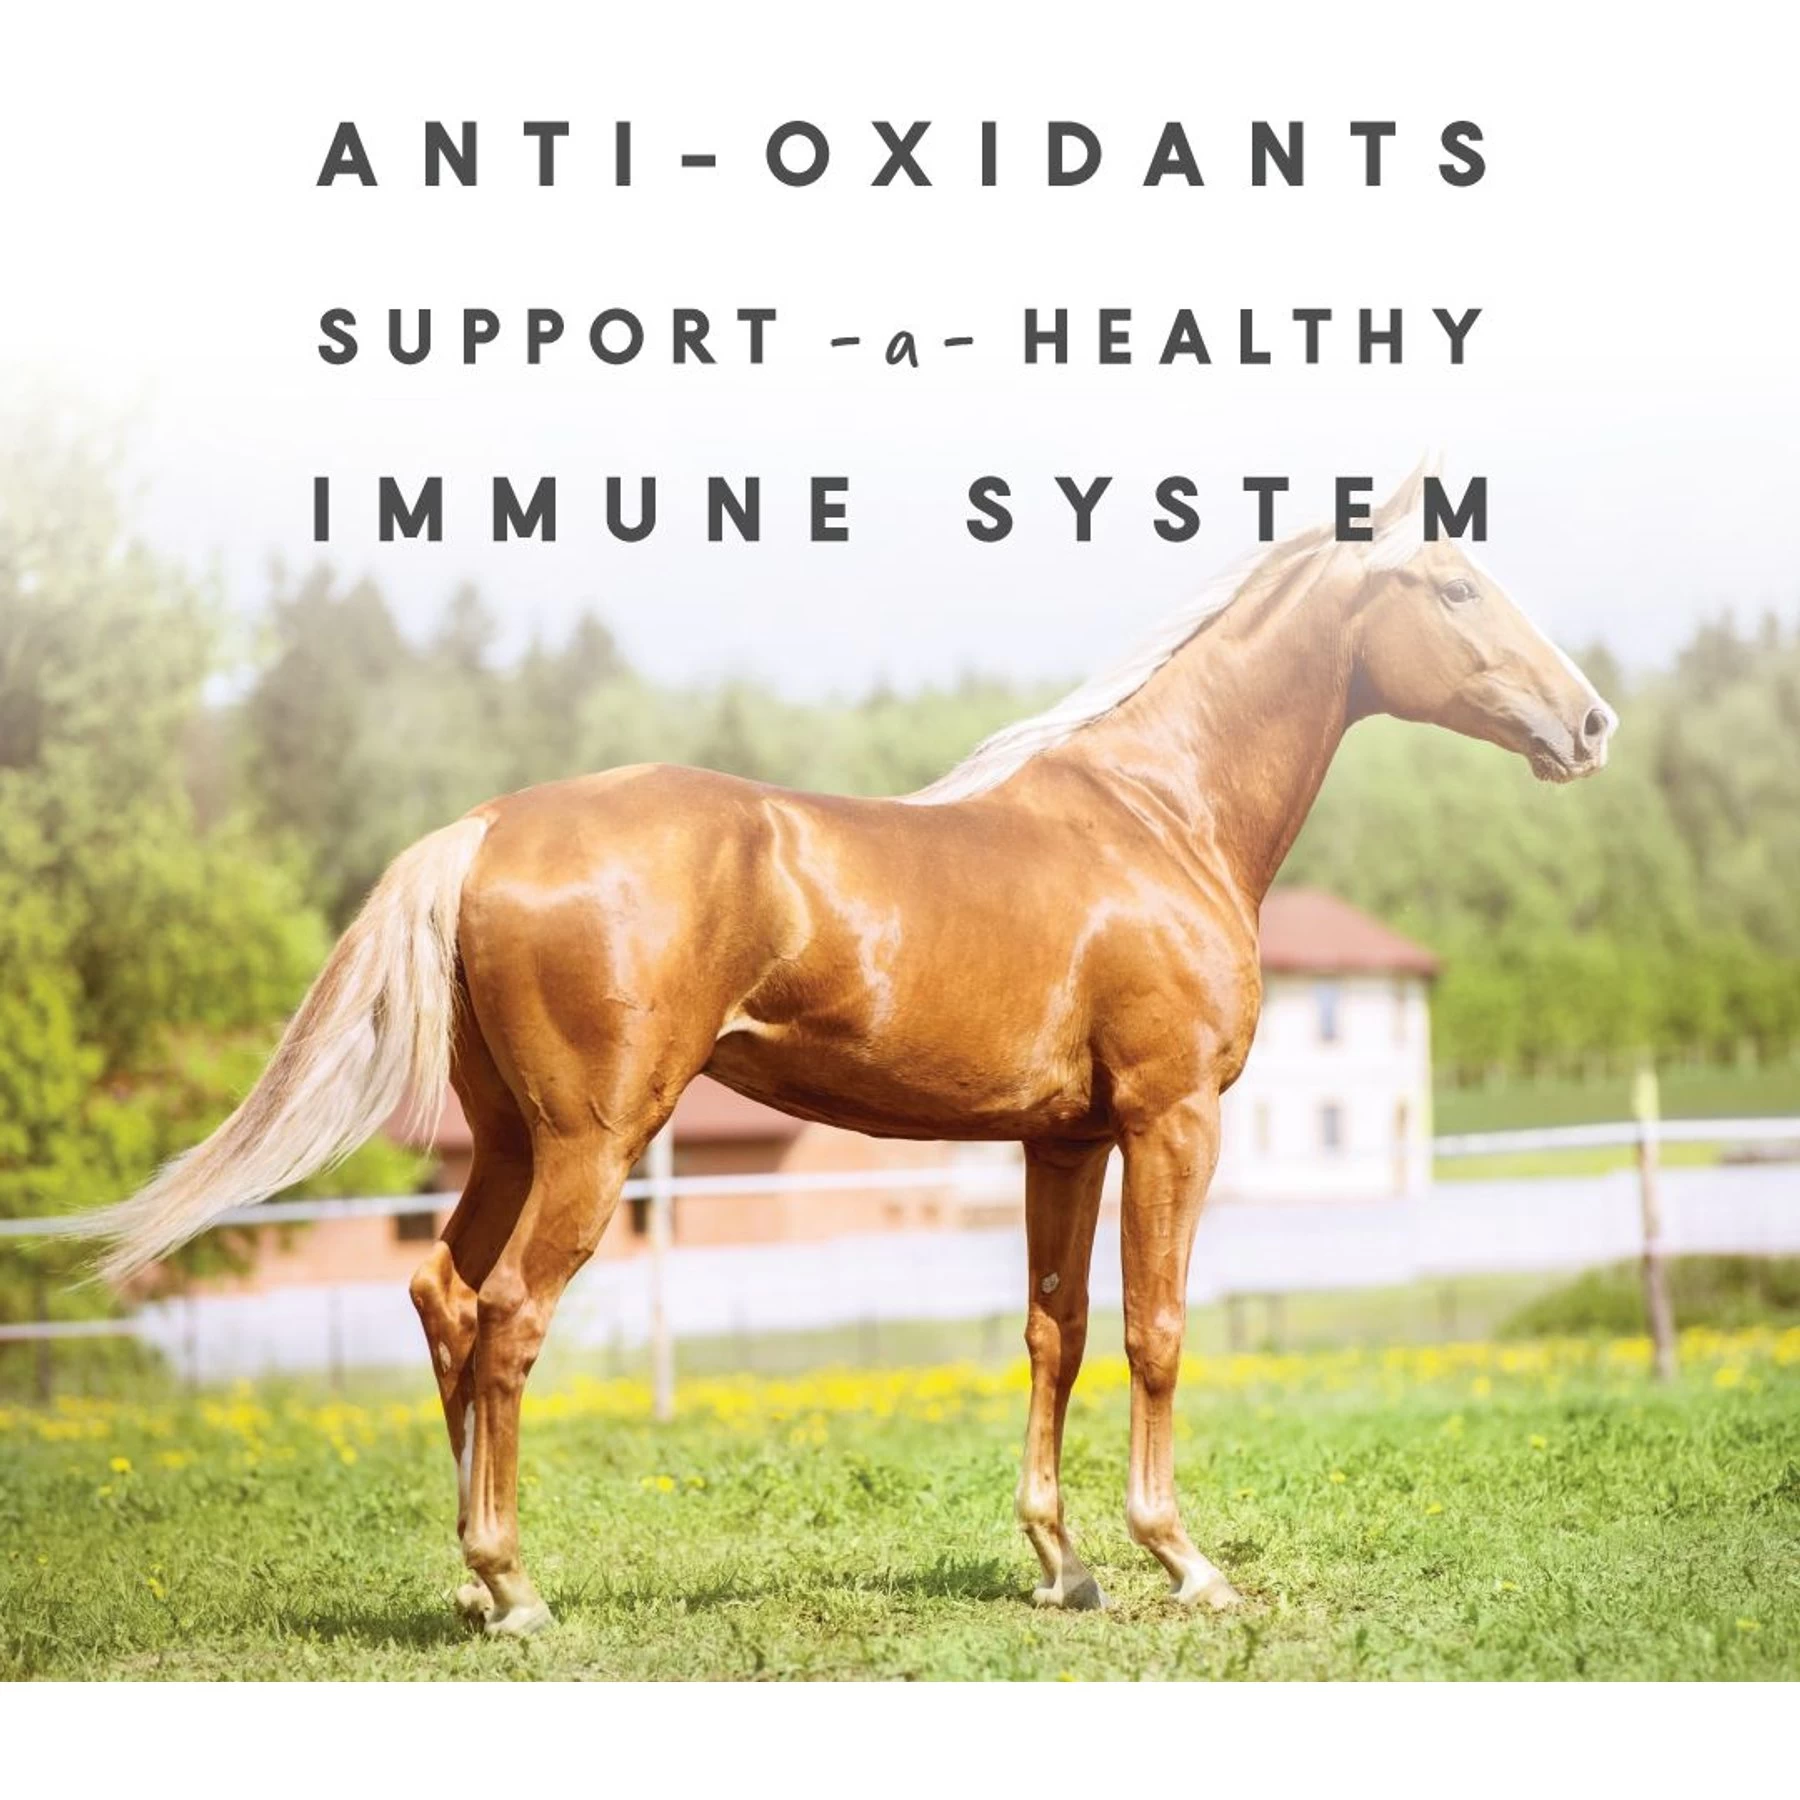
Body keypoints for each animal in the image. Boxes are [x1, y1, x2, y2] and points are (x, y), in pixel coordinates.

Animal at [78, 465, 1616, 1634]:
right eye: (1455, 586)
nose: (1591, 722)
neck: (1156, 811)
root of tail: (489, 827)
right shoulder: (1172, 1118)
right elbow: (1157, 1329)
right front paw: (1183, 1562)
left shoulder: (1064, 1139)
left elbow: (1055, 1332)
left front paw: (1062, 1567)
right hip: (595, 1143)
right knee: (508, 1316)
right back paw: (514, 1591)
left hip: (511, 1137)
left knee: (445, 1298)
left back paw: (468, 1583)